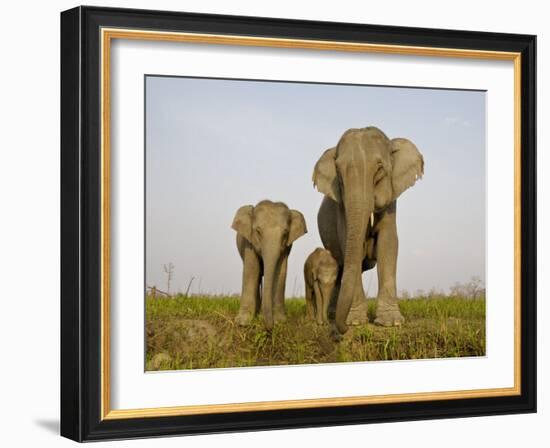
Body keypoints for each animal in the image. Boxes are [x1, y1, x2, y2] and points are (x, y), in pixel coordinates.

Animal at [232, 200, 308, 328]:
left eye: (285, 233)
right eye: (258, 231)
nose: (269, 328)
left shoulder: (286, 247)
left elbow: (281, 271)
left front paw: (280, 321)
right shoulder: (249, 241)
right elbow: (252, 270)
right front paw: (242, 323)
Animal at [312, 126, 424, 336]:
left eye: (380, 168)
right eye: (338, 171)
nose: (343, 329)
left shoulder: (391, 196)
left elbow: (388, 242)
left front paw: (390, 323)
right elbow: (347, 243)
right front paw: (355, 322)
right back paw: (333, 314)